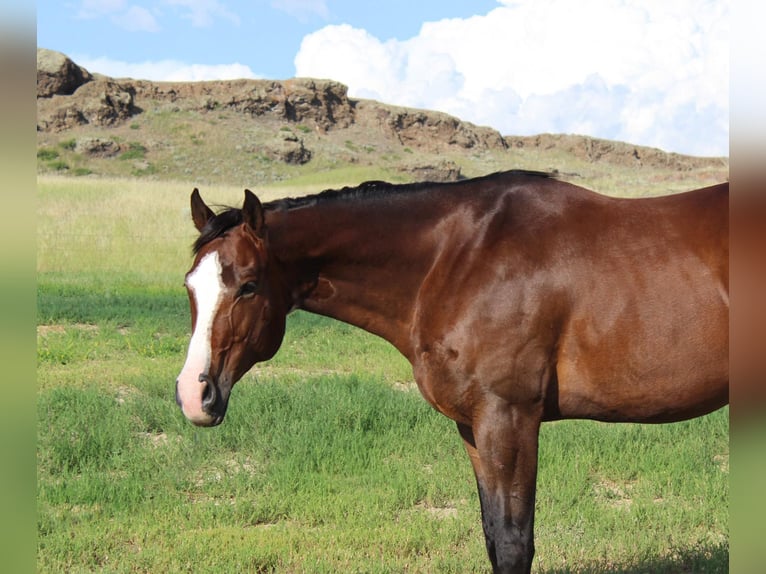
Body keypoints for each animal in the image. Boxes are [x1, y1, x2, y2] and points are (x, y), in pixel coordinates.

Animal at [176, 172, 732, 574]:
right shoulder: (474, 424)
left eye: (248, 285)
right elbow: (491, 535)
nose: (193, 395)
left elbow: (513, 543)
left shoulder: (508, 418)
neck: (456, 258)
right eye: (189, 286)